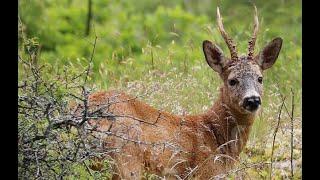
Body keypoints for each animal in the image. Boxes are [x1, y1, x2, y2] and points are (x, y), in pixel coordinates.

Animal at [84, 5, 282, 180]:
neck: (216, 138)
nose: (252, 100)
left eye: (260, 78)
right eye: (232, 80)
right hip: (126, 160)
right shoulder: (205, 172)